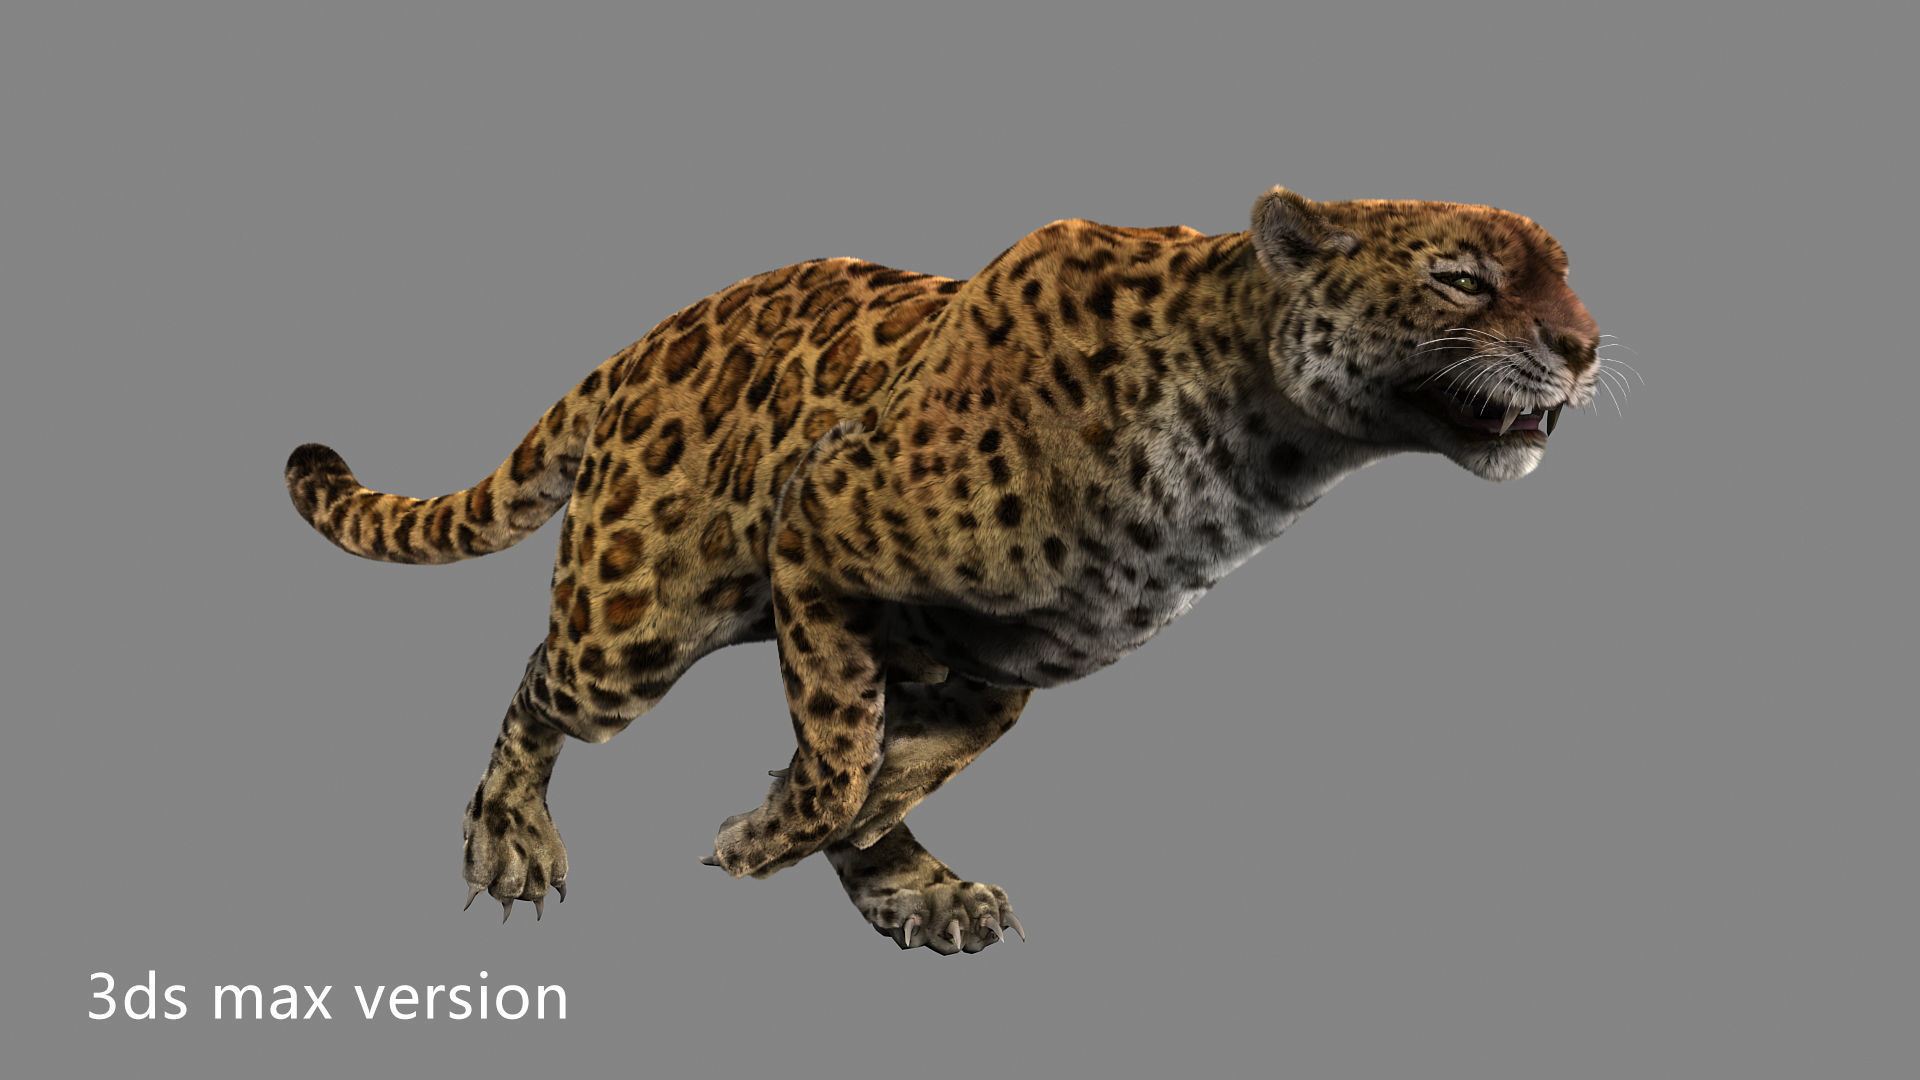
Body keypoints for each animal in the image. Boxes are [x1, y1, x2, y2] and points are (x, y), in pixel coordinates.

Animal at [284, 186, 1602, 954]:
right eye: (1463, 279)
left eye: (1566, 275)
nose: (1587, 347)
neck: (1253, 446)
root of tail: (644, 344)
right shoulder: (818, 526)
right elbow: (839, 753)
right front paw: (763, 837)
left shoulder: (1001, 660)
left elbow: (919, 753)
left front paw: (873, 839)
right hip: (634, 619)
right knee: (539, 683)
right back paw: (512, 837)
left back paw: (917, 886)